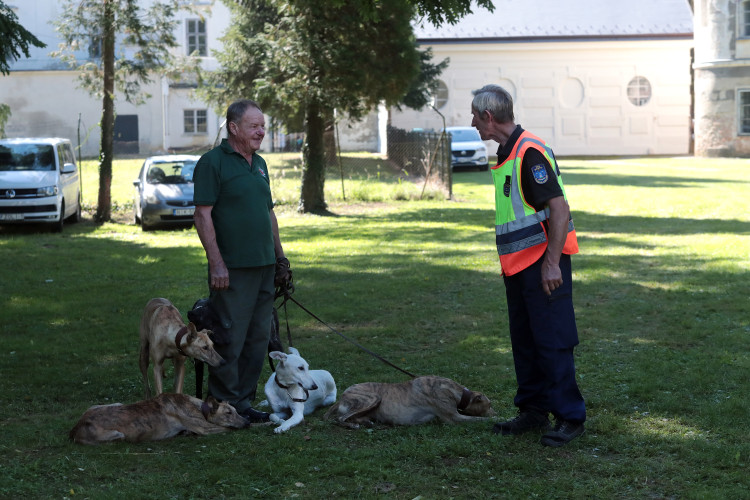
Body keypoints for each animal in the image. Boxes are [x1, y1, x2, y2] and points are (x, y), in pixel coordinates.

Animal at [70, 392, 250, 444]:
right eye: (228, 413)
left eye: (236, 411)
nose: (246, 422)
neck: (199, 407)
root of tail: (76, 427)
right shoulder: (205, 428)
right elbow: (227, 428)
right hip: (117, 434)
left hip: (112, 404)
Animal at [326, 376, 496, 428]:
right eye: (489, 405)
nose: (495, 411)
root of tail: (342, 396)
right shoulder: (454, 418)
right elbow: (479, 419)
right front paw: (497, 418)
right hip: (372, 397)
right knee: (340, 418)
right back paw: (352, 425)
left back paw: (365, 422)